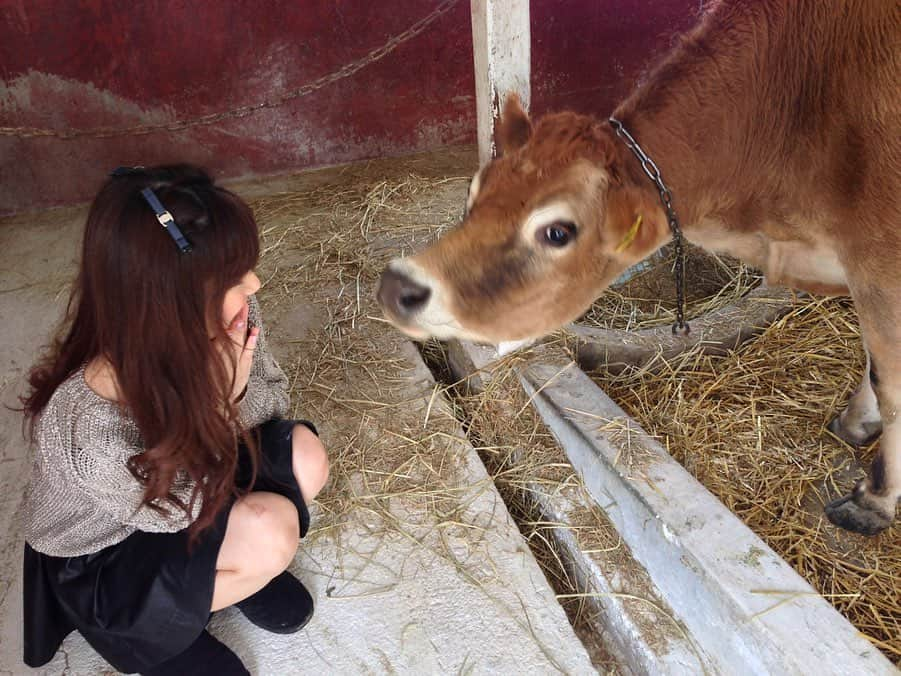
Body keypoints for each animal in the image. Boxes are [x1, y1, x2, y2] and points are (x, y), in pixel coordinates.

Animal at [378, 0, 900, 536]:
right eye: (475, 191)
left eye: (557, 232)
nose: (398, 285)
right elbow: (874, 360)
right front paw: (856, 423)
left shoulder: (880, 261)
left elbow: (890, 382)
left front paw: (873, 501)